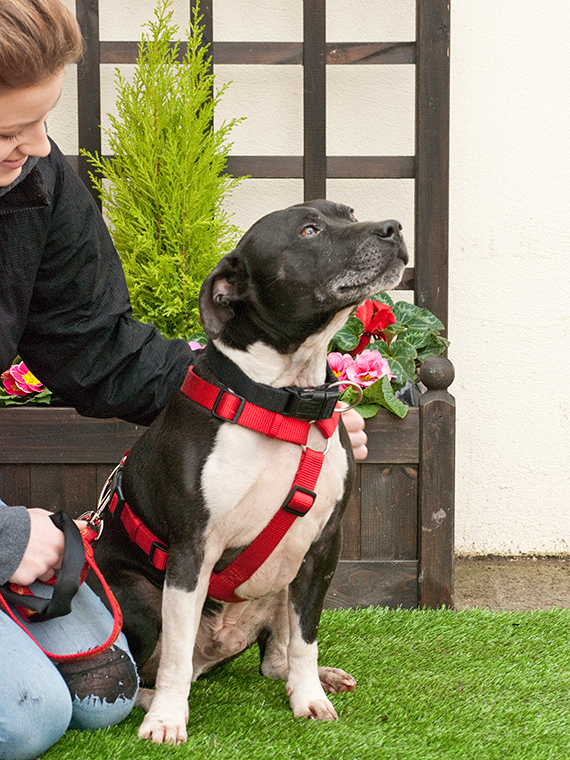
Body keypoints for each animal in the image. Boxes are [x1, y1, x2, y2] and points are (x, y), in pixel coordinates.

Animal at [92, 200, 404, 744]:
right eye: (309, 231)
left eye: (348, 214)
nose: (393, 228)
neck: (283, 401)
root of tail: (216, 648)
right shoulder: (192, 550)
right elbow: (174, 658)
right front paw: (168, 719)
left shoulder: (322, 547)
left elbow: (305, 639)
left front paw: (309, 697)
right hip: (140, 594)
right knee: (148, 672)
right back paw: (154, 704)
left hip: (283, 580)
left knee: (274, 659)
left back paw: (313, 678)